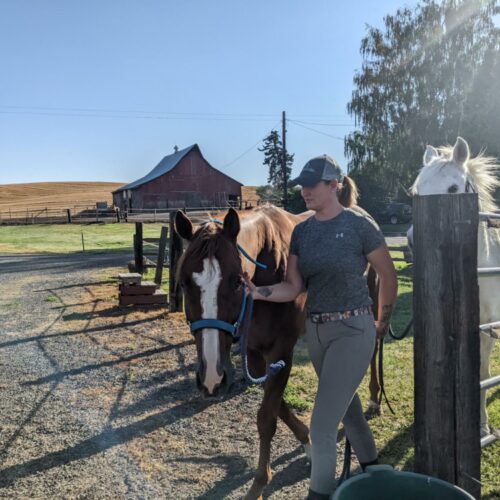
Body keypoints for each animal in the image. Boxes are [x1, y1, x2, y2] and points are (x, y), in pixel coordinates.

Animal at [408, 138, 498, 438]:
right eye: (416, 193)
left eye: (453, 190)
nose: (413, 241)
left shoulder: (487, 329)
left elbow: (483, 374)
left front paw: (482, 426)